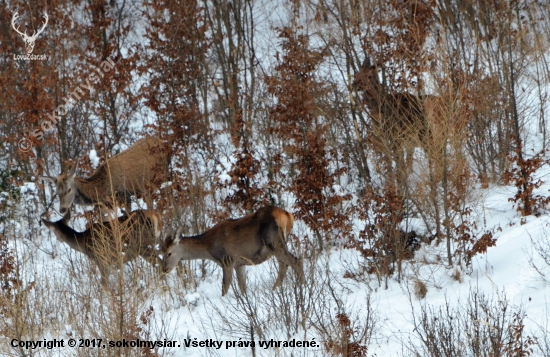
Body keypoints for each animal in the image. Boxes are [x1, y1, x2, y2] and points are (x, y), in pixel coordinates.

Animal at [40, 137, 169, 217]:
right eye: (57, 192)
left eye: (69, 189)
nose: (62, 209)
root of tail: (162, 141)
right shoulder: (106, 205)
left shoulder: (124, 196)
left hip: (154, 181)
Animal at [162, 206, 306, 294]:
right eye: (161, 251)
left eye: (169, 253)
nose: (164, 269)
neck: (210, 248)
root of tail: (288, 216)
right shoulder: (239, 263)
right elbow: (242, 286)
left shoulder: (227, 260)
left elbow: (225, 286)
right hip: (277, 245)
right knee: (284, 264)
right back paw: (275, 289)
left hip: (273, 241)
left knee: (295, 261)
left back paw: (302, 286)